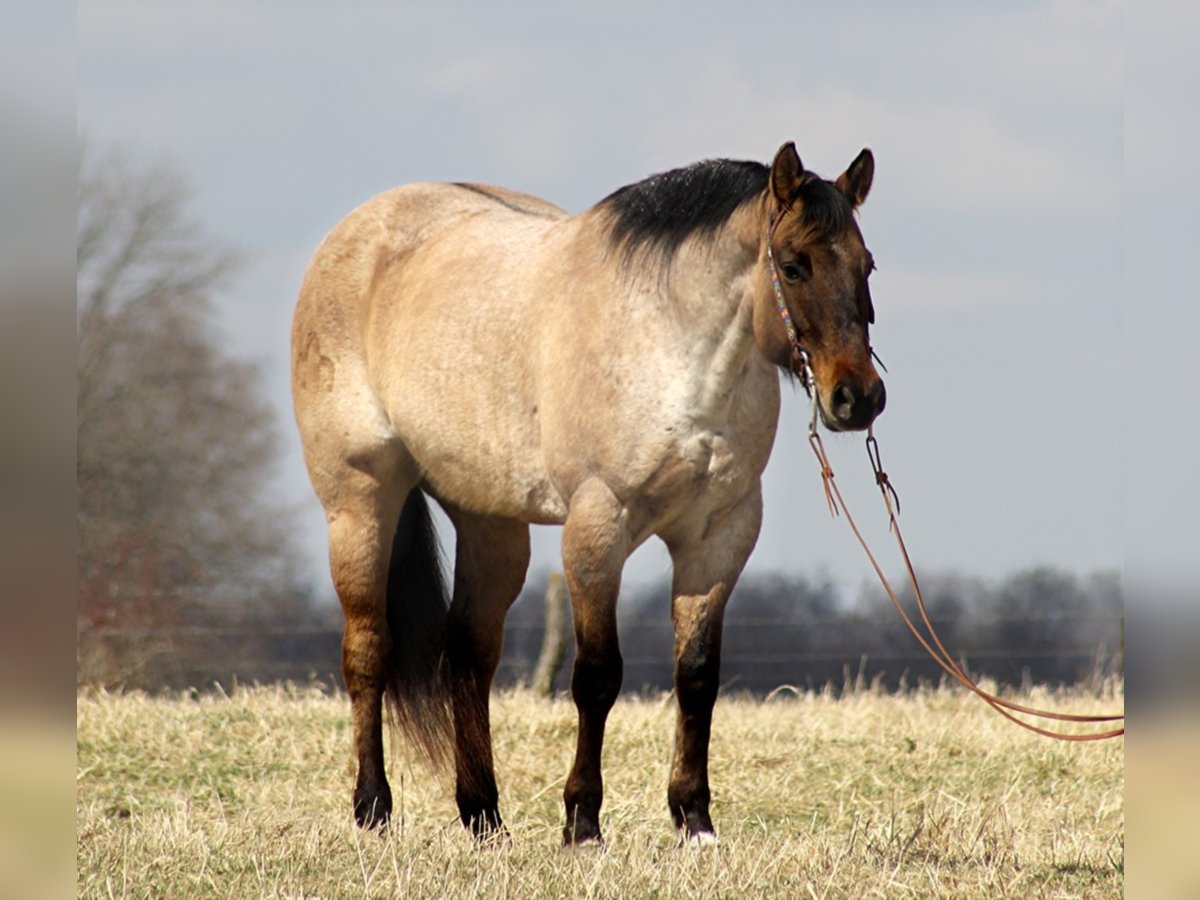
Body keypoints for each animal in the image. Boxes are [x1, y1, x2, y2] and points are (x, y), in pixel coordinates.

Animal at [292, 141, 883, 844]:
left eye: (867, 265)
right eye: (793, 265)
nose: (858, 397)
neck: (671, 348)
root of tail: (354, 236)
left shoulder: (719, 536)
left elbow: (697, 677)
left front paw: (694, 819)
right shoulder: (598, 528)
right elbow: (597, 677)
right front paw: (582, 820)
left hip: (490, 524)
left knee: (469, 656)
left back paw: (483, 815)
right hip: (360, 503)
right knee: (367, 651)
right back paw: (373, 808)